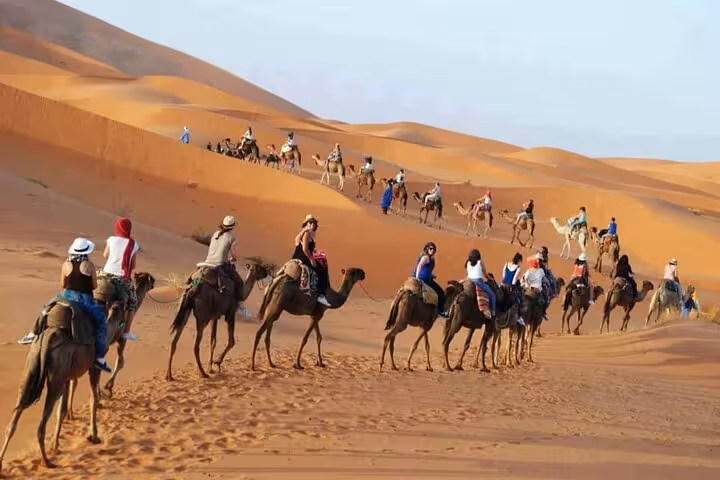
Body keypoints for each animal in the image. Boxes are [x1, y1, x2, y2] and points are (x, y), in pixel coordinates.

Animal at [0, 305, 102, 472]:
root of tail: (49, 336)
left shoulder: (68, 375)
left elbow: (62, 409)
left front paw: (56, 445)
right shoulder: (94, 365)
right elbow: (94, 397)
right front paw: (94, 436)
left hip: (32, 364)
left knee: (14, 418)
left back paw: (2, 462)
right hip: (57, 375)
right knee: (41, 426)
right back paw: (46, 461)